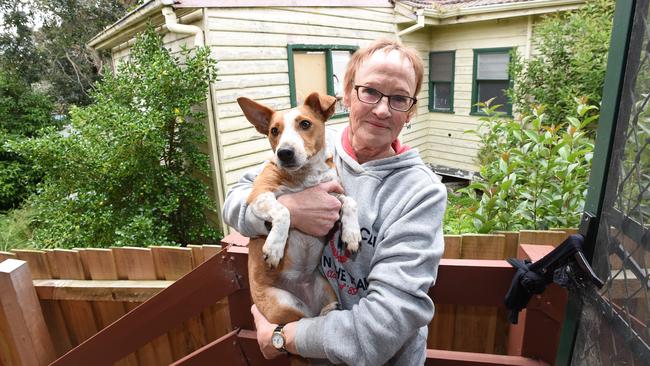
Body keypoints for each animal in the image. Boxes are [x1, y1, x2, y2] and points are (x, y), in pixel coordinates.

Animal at [237, 92, 362, 328]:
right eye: (274, 131)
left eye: (305, 124)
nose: (284, 153)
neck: (306, 175)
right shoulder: (258, 195)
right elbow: (284, 211)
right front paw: (275, 246)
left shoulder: (334, 193)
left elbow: (350, 201)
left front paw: (351, 234)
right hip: (282, 302)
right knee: (299, 322)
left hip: (325, 288)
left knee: (314, 317)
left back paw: (328, 309)